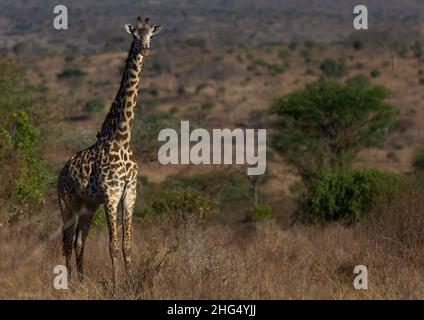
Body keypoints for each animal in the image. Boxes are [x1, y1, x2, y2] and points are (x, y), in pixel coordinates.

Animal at [57, 16, 161, 288]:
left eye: (151, 35)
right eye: (135, 34)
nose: (145, 49)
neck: (122, 138)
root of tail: (61, 172)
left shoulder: (130, 194)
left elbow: (127, 245)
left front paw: (131, 283)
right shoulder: (111, 195)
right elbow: (112, 244)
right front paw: (115, 286)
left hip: (88, 205)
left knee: (79, 241)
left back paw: (82, 280)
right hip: (67, 201)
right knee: (66, 241)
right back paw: (68, 284)